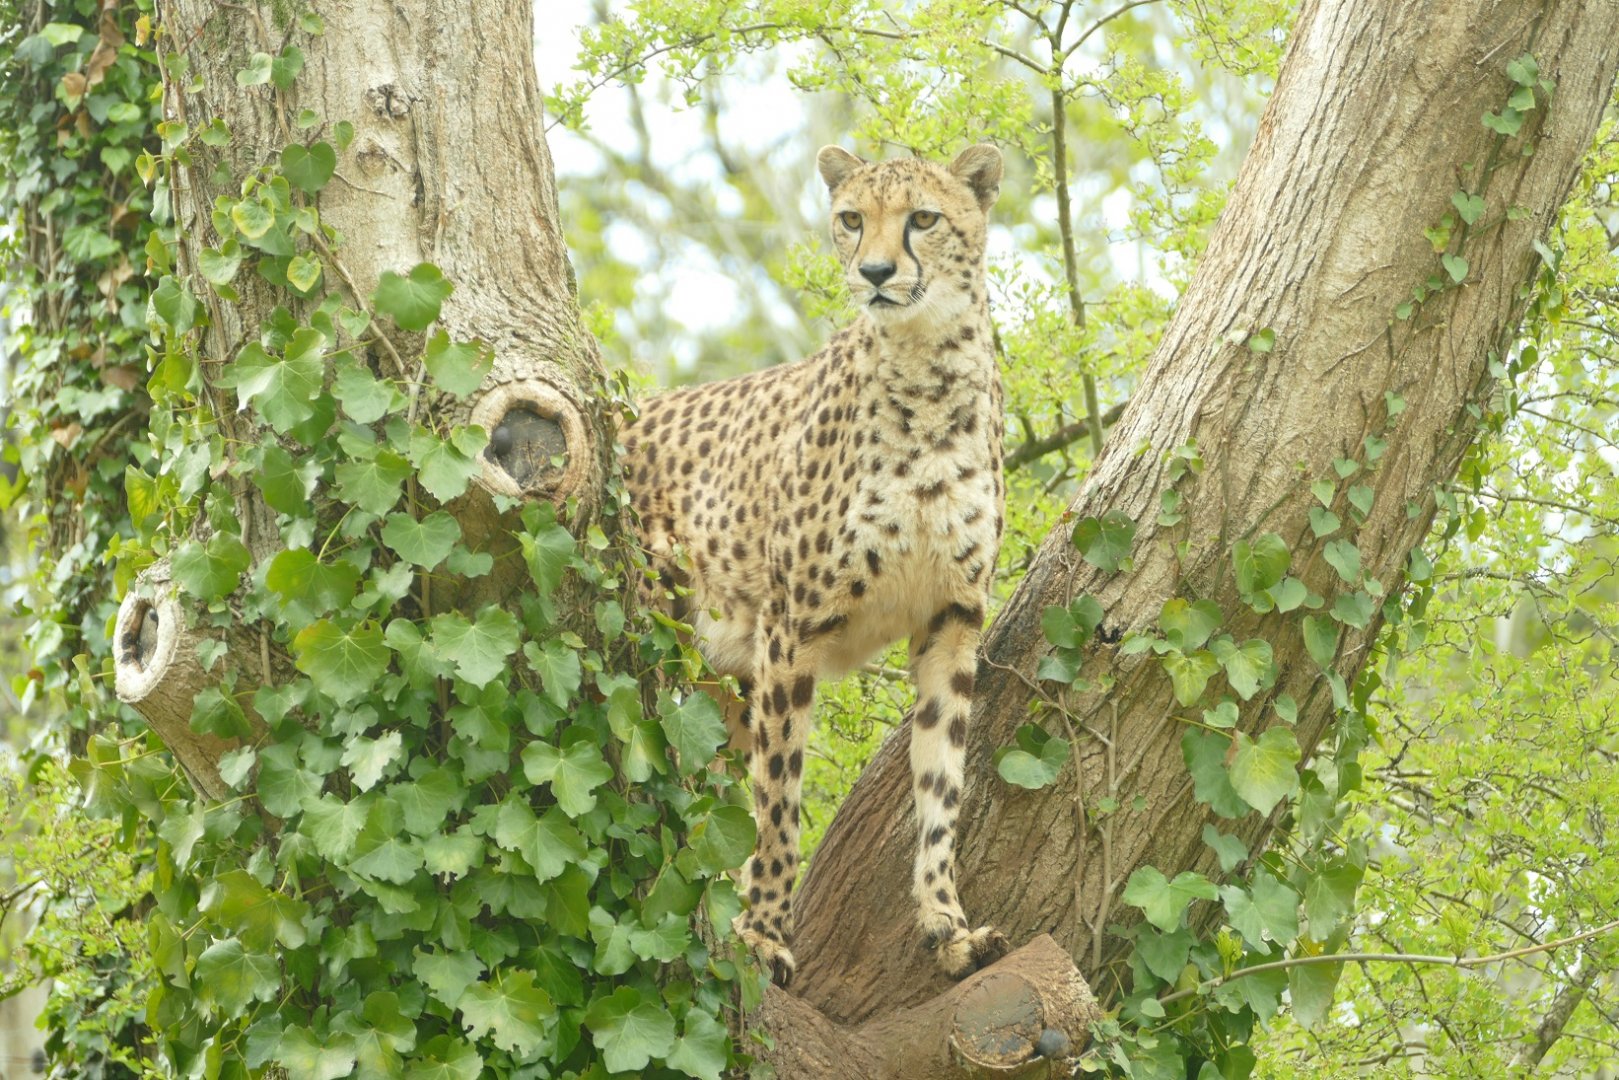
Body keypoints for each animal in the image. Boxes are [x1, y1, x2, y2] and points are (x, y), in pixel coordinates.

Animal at [620, 143, 1010, 987]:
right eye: (852, 219)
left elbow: (941, 786)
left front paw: (946, 922)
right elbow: (778, 798)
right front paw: (764, 931)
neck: (927, 369)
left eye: (923, 218)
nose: (874, 271)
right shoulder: (788, 627)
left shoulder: (952, 619)